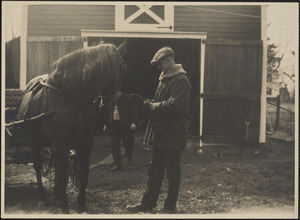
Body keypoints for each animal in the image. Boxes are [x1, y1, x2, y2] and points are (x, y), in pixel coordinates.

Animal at [12, 40, 127, 213]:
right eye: (122, 68)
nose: (108, 113)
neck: (72, 98)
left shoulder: (84, 141)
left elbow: (82, 173)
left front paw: (81, 206)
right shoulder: (59, 143)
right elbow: (62, 177)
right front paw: (65, 208)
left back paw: (57, 195)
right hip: (34, 141)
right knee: (38, 166)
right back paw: (43, 198)